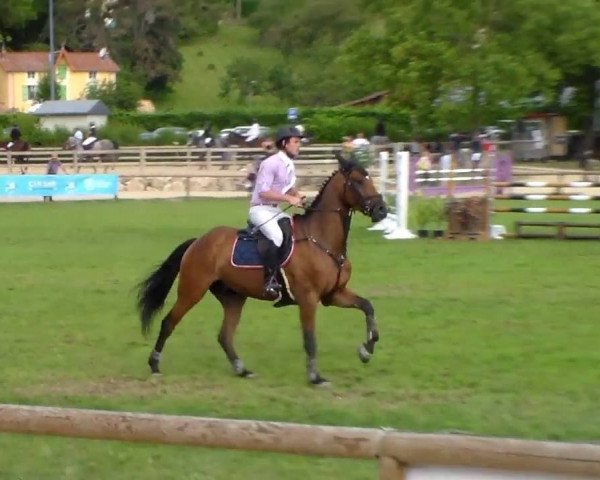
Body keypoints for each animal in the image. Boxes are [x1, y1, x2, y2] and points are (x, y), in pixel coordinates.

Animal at [137, 155, 390, 386]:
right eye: (358, 181)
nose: (382, 210)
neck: (322, 240)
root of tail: (198, 241)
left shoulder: (333, 294)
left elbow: (368, 307)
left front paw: (366, 350)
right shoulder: (308, 298)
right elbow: (310, 338)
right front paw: (315, 377)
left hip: (233, 297)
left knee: (224, 335)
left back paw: (242, 369)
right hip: (192, 291)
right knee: (169, 322)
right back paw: (155, 365)